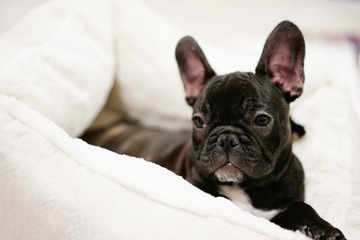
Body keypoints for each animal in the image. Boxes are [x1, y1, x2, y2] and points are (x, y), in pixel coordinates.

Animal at [81, 21, 346, 240]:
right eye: (199, 121)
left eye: (261, 119)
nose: (227, 138)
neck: (245, 189)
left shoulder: (287, 202)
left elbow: (302, 207)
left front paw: (324, 228)